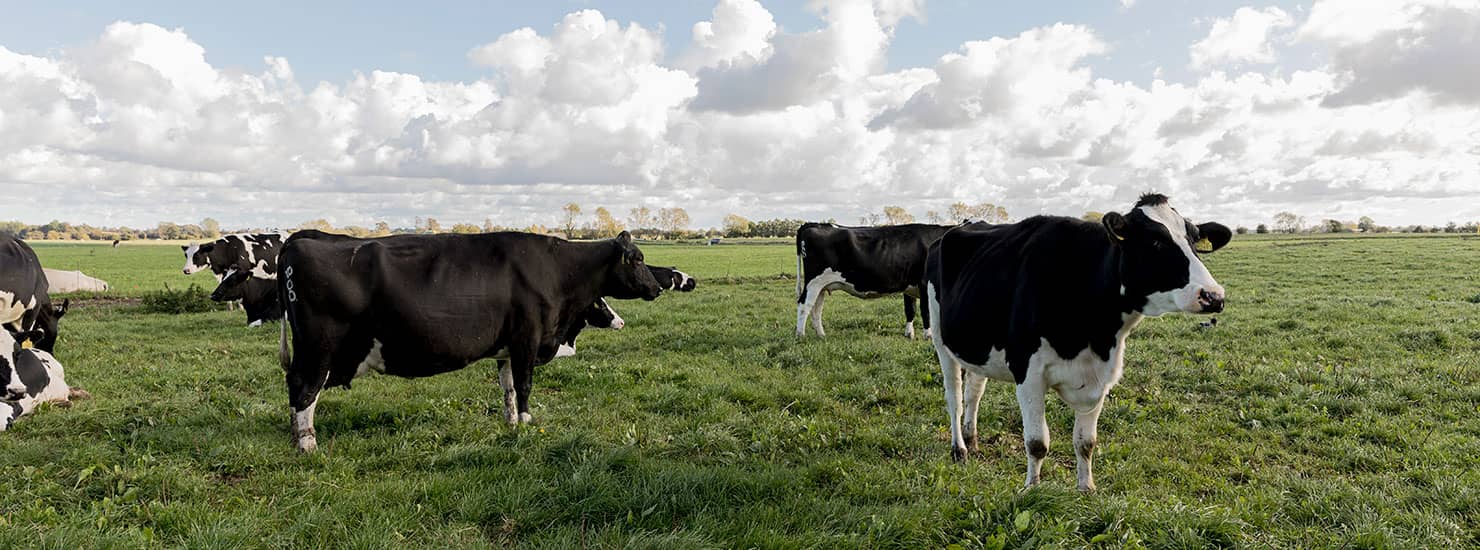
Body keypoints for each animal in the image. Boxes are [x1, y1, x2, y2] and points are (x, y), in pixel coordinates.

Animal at [276, 230, 662, 452]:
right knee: (305, 388)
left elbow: (508, 388)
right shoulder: (528, 339)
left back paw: (297, 436)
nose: (657, 288)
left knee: (295, 388)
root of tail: (296, 243)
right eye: (638, 259)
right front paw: (527, 423)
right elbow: (525, 385)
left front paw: (510, 425)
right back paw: (308, 445)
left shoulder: (507, 348)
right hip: (319, 348)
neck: (559, 270)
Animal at [795, 222, 952, 339]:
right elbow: (926, 311)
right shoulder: (924, 283)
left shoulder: (909, 286)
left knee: (816, 308)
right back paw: (800, 335)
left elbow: (910, 310)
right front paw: (928, 335)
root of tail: (816, 224)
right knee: (804, 305)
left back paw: (821, 335)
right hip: (814, 282)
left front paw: (909, 334)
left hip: (821, 285)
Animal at [926, 193, 1231, 491]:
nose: (1213, 296)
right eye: (1155, 241)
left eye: (1194, 239)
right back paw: (959, 449)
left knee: (974, 392)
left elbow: (1086, 442)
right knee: (954, 396)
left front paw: (1087, 489)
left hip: (977, 345)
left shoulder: (1100, 377)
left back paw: (973, 440)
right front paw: (1032, 489)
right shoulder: (1028, 372)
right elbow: (1037, 442)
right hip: (941, 338)